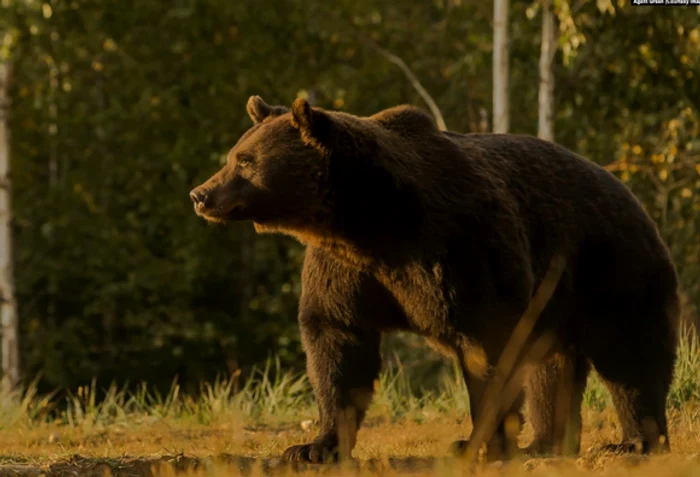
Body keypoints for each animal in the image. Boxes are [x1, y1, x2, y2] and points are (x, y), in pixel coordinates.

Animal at [190, 95, 680, 462]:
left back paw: (634, 441)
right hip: (558, 297)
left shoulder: (459, 246)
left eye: (246, 161)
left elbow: (490, 347)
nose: (200, 194)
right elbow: (337, 342)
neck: (370, 221)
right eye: (235, 155)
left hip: (610, 266)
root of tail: (629, 193)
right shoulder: (345, 269)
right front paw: (314, 446)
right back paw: (546, 444)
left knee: (629, 355)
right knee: (553, 366)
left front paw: (478, 442)